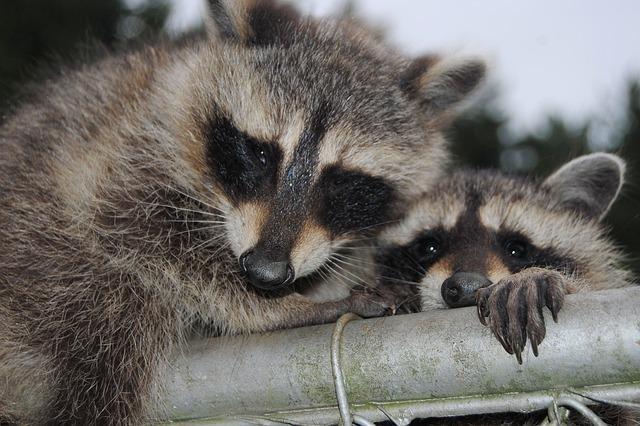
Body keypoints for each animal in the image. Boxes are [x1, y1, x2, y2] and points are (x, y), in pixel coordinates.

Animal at [0, 0, 484, 426]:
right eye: (260, 153)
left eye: (341, 182)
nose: (266, 273)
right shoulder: (122, 146)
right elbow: (135, 229)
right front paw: (286, 308)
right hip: (42, 254)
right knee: (115, 324)